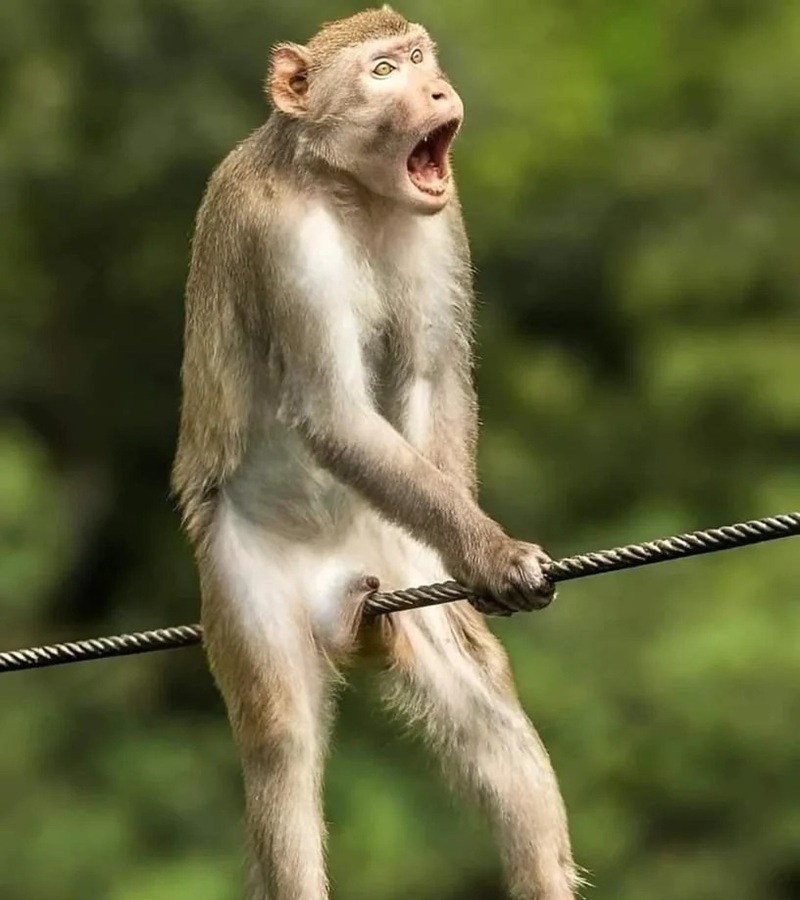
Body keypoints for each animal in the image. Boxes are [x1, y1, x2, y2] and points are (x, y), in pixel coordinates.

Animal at [172, 6, 581, 899]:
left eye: (420, 57)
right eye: (384, 70)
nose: (435, 89)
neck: (349, 190)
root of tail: (342, 597)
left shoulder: (441, 221)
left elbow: (432, 376)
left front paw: (473, 560)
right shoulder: (280, 239)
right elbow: (332, 411)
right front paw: (493, 551)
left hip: (390, 561)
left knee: (487, 720)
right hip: (245, 581)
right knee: (281, 744)